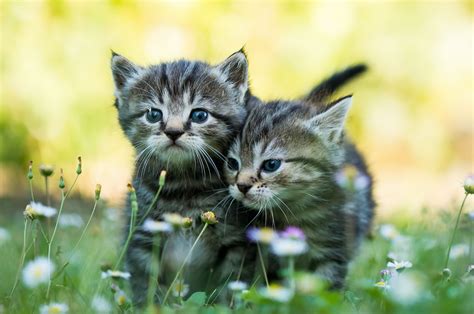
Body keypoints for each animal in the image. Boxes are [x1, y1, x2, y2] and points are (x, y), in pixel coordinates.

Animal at [110, 50, 256, 306]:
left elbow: (229, 287)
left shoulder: (237, 243)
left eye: (199, 115)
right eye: (153, 114)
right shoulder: (142, 238)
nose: (173, 131)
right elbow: (147, 286)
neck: (186, 186)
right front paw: (152, 307)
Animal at [224, 94, 376, 290]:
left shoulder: (336, 252)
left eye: (271, 165)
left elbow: (326, 288)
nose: (242, 185)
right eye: (232, 163)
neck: (296, 213)